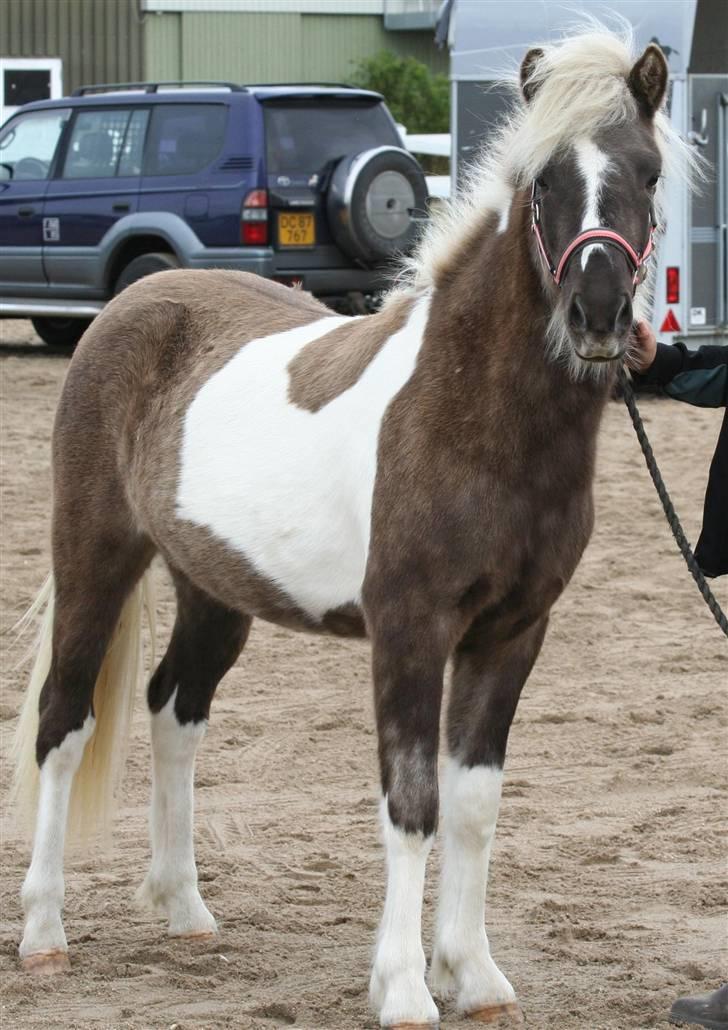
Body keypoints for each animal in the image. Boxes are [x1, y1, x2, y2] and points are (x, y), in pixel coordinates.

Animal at [12, 30, 687, 1030]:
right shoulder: (410, 630)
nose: (598, 315)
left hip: (214, 592)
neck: (469, 415)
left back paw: (186, 910)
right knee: (64, 722)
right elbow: (412, 803)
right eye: (542, 181)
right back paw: (45, 934)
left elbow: (474, 804)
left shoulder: (512, 634)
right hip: (96, 555)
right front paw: (404, 988)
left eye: (648, 174)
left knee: (175, 711)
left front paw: (474, 975)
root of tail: (130, 305)